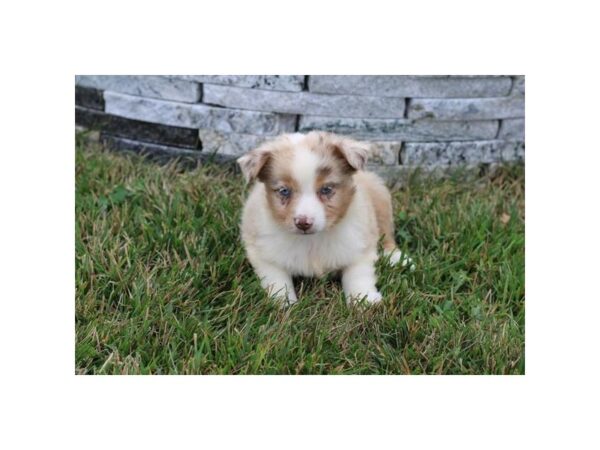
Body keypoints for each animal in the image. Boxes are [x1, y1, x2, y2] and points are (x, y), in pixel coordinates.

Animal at [237, 131, 414, 306]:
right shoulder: (262, 252)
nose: (303, 223)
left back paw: (398, 259)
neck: (312, 240)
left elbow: (358, 274)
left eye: (326, 189)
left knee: (387, 233)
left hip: (381, 199)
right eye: (284, 191)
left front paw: (364, 300)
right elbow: (277, 280)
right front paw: (284, 304)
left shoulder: (360, 244)